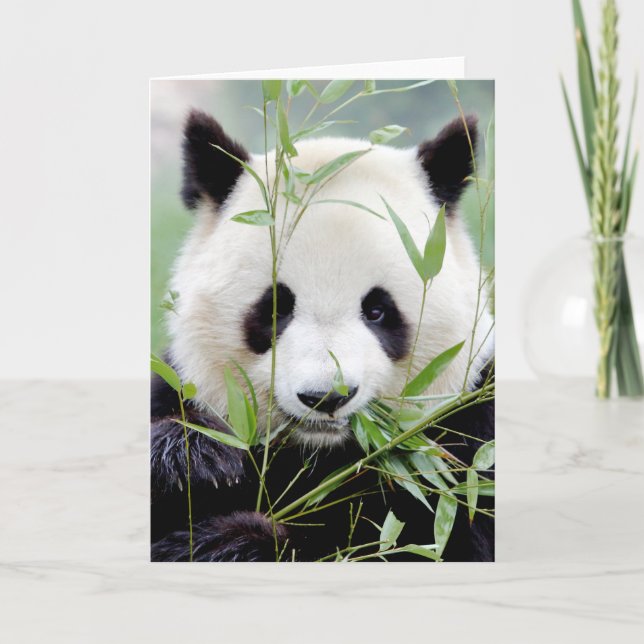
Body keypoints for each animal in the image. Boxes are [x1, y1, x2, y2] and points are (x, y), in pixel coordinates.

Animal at [151, 107, 494, 562]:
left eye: (377, 311)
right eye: (275, 308)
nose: (326, 397)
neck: (319, 454)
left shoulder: (466, 441)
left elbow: (424, 540)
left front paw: (235, 541)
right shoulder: (183, 386)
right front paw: (195, 462)